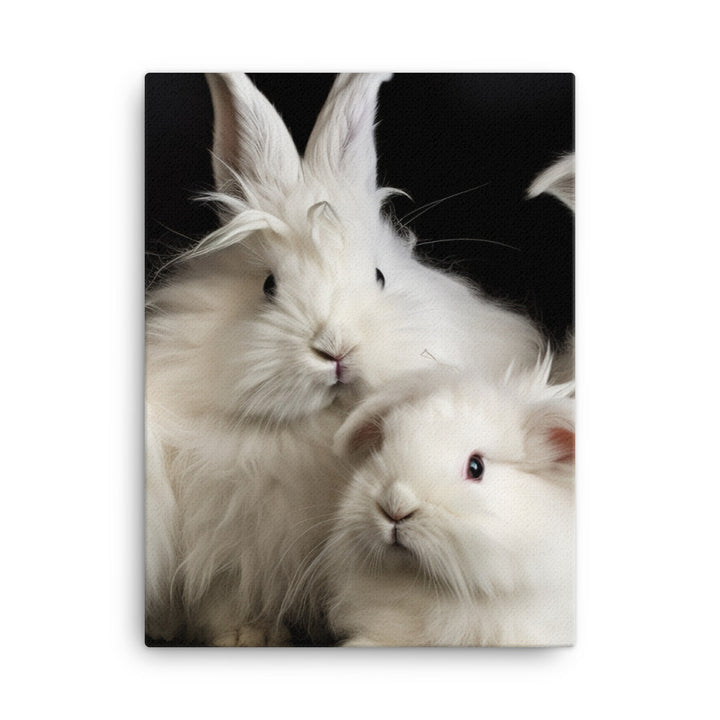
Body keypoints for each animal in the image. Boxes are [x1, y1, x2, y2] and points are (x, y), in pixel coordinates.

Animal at [145, 73, 546, 645]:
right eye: (268, 286)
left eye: (379, 276)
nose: (335, 348)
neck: (320, 429)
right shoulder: (222, 540)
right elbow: (223, 596)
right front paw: (246, 636)